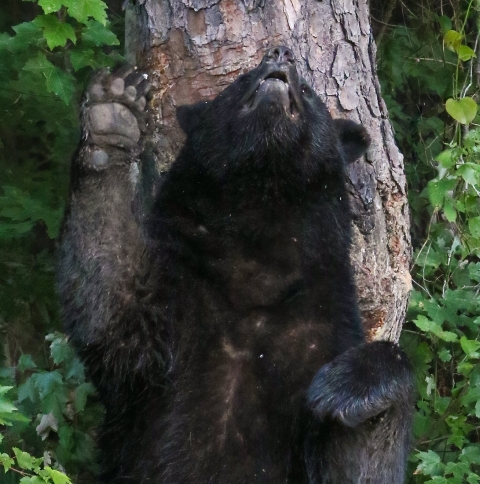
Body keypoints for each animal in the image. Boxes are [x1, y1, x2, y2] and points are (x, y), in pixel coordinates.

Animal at [59, 46, 412, 484]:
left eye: (309, 90)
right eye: (240, 80)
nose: (280, 53)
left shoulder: (323, 322)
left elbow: (357, 466)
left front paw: (350, 387)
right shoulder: (178, 305)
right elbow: (111, 296)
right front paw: (114, 110)